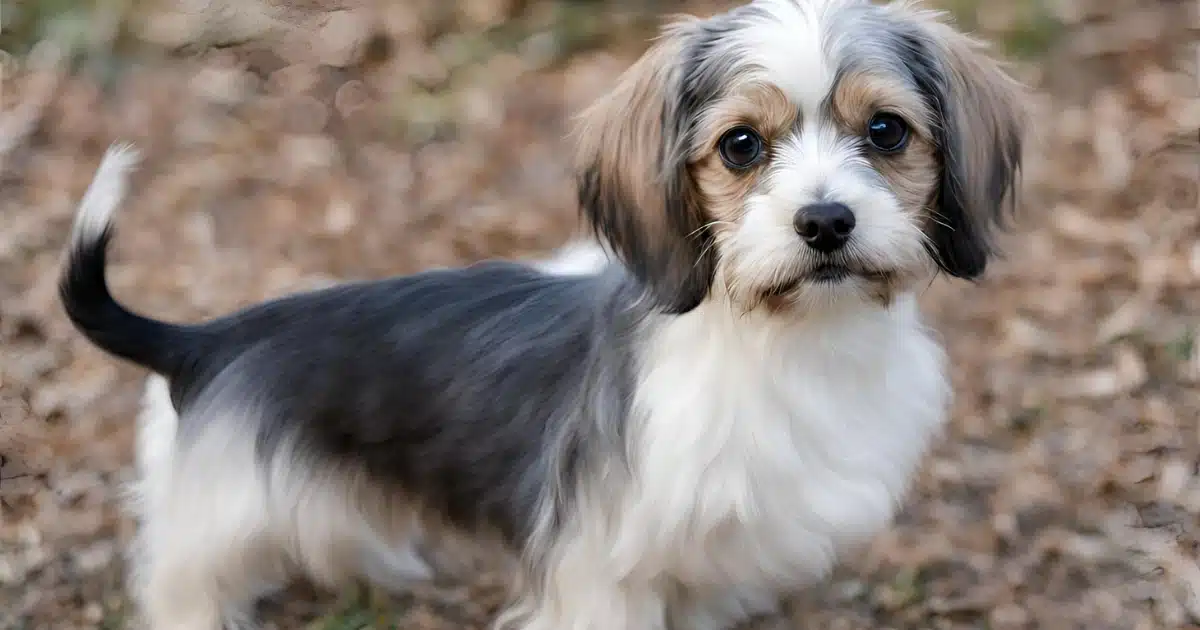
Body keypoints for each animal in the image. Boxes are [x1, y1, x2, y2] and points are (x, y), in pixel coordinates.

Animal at [60, 1, 1027, 628]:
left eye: (887, 131)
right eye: (741, 146)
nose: (825, 222)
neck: (778, 342)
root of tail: (206, 342)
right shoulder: (602, 573)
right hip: (213, 530)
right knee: (181, 590)